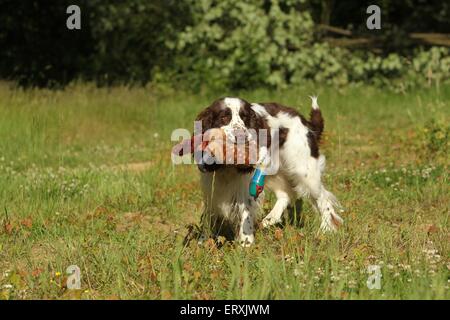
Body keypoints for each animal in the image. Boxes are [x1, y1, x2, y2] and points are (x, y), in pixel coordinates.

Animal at [178, 96, 342, 246]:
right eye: (224, 117)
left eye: (244, 117)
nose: (241, 136)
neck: (227, 168)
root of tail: (305, 122)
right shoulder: (211, 188)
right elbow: (209, 215)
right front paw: (203, 242)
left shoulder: (245, 184)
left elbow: (246, 210)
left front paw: (246, 241)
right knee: (285, 194)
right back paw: (270, 219)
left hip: (304, 170)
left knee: (323, 198)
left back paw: (326, 229)